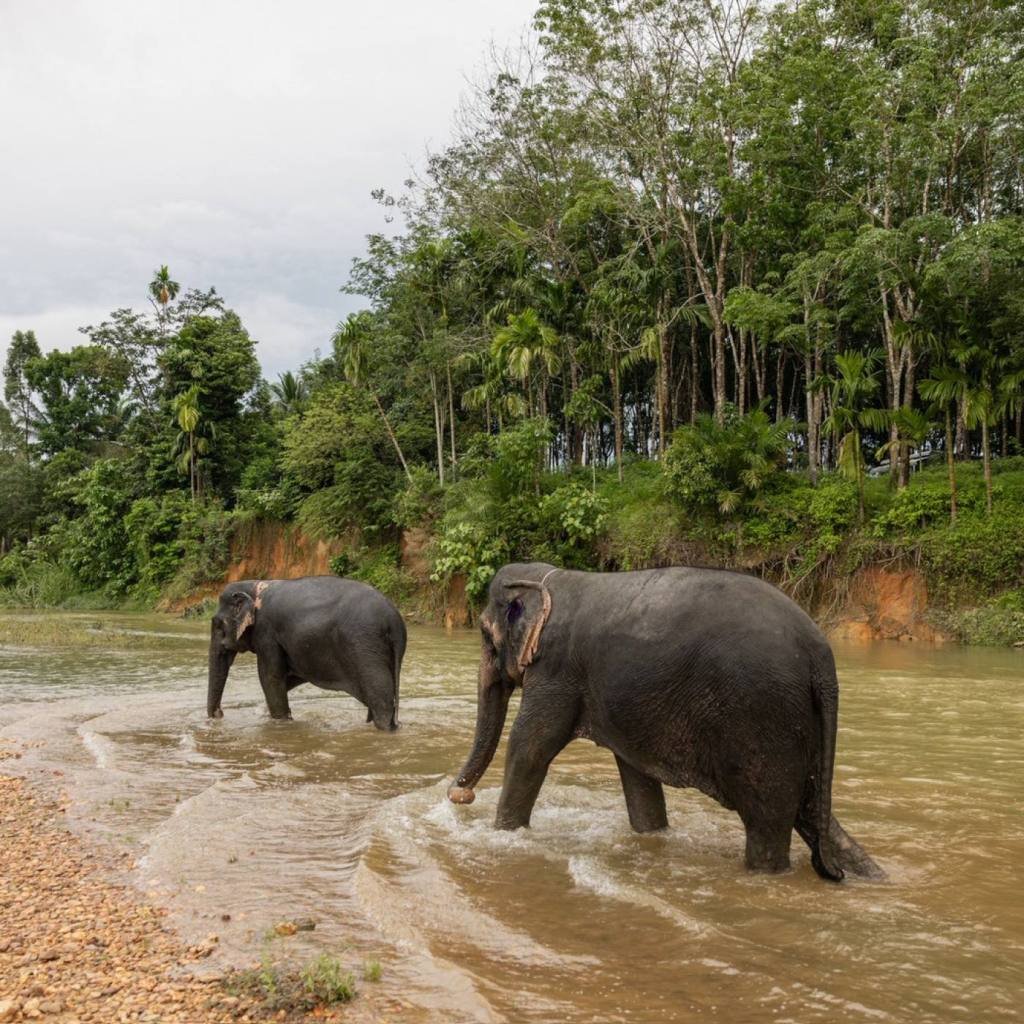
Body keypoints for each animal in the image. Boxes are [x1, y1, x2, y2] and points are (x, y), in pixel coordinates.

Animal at [207, 576, 405, 728]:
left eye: (218, 624)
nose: (219, 714)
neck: (254, 585)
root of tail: (394, 620)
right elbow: (289, 678)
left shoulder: (266, 633)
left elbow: (270, 678)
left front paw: (281, 722)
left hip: (364, 646)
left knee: (381, 698)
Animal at [448, 562, 883, 881]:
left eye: (485, 635)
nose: (459, 794)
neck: (550, 577)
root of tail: (820, 656)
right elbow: (637, 776)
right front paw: (654, 836)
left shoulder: (555, 670)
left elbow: (530, 748)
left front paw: (503, 836)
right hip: (798, 720)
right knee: (812, 812)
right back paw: (869, 875)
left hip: (764, 716)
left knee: (769, 819)